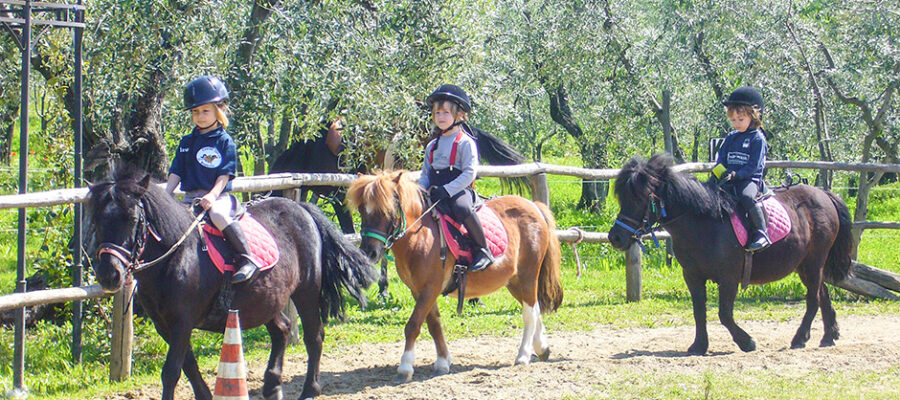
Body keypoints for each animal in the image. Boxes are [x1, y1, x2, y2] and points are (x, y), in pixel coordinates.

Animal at [88, 167, 376, 400]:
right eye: (96, 220)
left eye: (132, 220)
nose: (109, 274)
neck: (176, 256)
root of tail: (302, 209)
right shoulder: (166, 326)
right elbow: (189, 365)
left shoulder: (182, 323)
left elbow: (171, 371)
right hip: (264, 300)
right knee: (282, 330)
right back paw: (272, 385)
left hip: (306, 291)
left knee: (313, 336)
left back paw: (309, 390)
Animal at [346, 171, 564, 382]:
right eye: (362, 211)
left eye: (388, 211)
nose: (369, 252)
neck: (421, 236)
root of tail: (534, 206)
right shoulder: (418, 290)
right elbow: (434, 324)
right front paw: (443, 361)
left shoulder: (430, 288)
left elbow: (413, 325)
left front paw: (405, 366)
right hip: (514, 281)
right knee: (535, 308)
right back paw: (542, 348)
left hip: (528, 275)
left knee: (529, 314)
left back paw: (523, 355)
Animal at [608, 155, 856, 354]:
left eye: (640, 198)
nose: (615, 237)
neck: (704, 224)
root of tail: (824, 194)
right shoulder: (692, 276)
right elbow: (699, 311)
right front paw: (699, 345)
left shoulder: (729, 278)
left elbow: (724, 314)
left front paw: (747, 342)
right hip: (805, 265)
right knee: (822, 294)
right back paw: (829, 335)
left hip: (814, 262)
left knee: (813, 299)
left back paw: (800, 338)